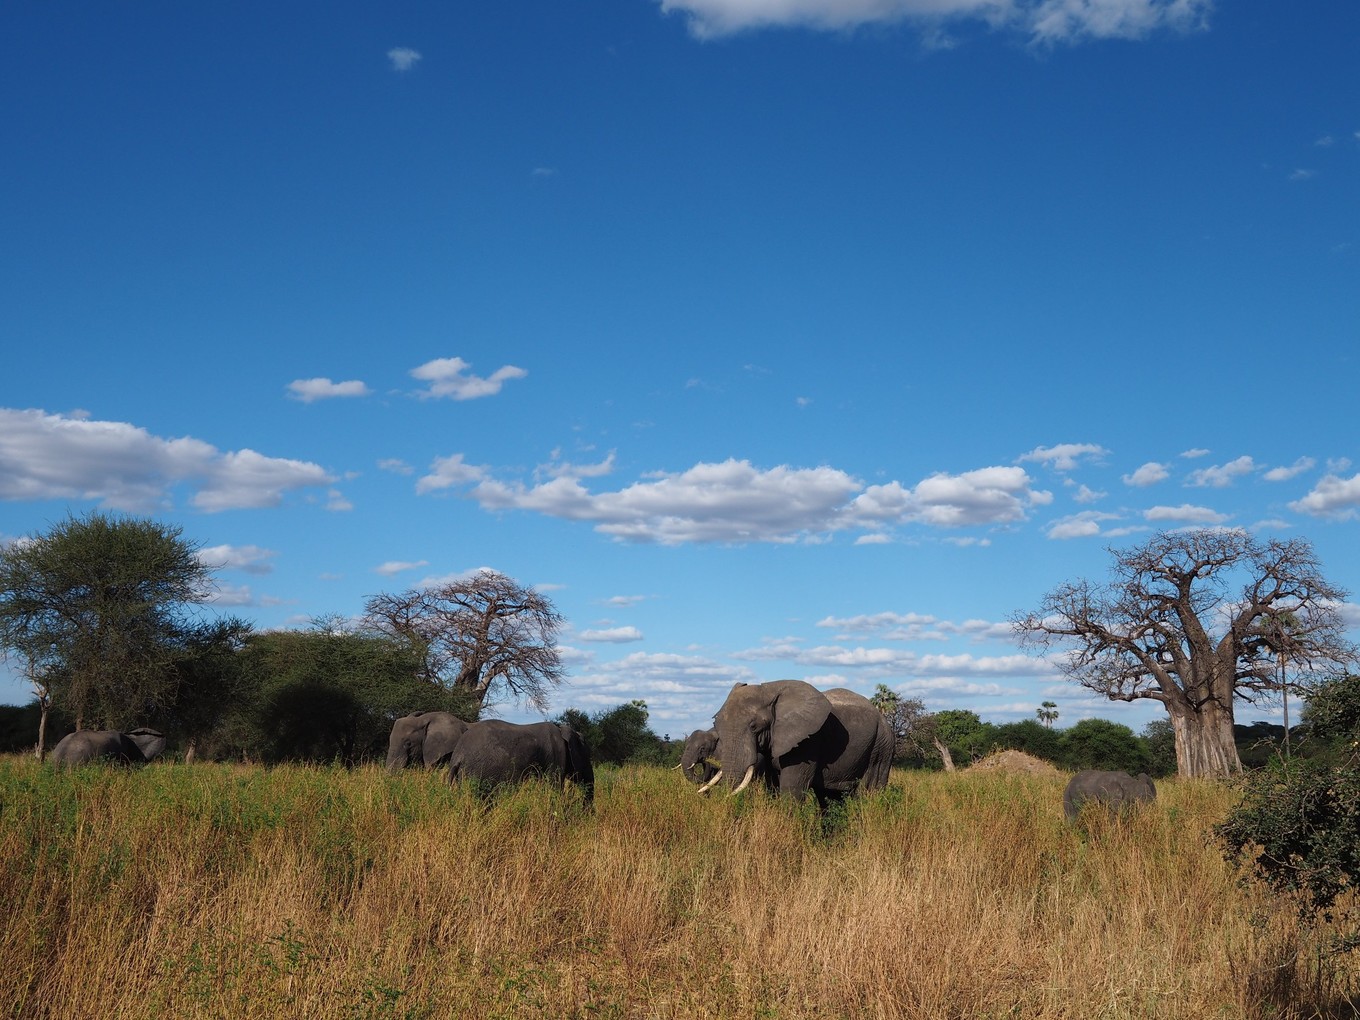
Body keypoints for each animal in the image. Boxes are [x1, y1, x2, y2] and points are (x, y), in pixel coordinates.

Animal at [696, 688, 897, 805]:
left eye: (754, 727)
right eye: (715, 723)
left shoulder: (807, 743)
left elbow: (792, 792)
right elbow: (773, 788)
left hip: (881, 746)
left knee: (869, 793)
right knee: (830, 797)